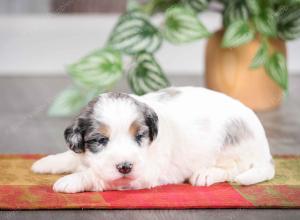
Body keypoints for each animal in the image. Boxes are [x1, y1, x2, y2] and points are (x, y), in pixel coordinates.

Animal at [32, 87, 274, 193]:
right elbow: (72, 156)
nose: (125, 166)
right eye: (100, 140)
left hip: (231, 149)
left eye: (139, 136)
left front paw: (71, 181)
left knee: (233, 168)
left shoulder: (144, 175)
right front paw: (45, 162)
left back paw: (206, 174)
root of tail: (265, 149)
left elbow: (99, 177)